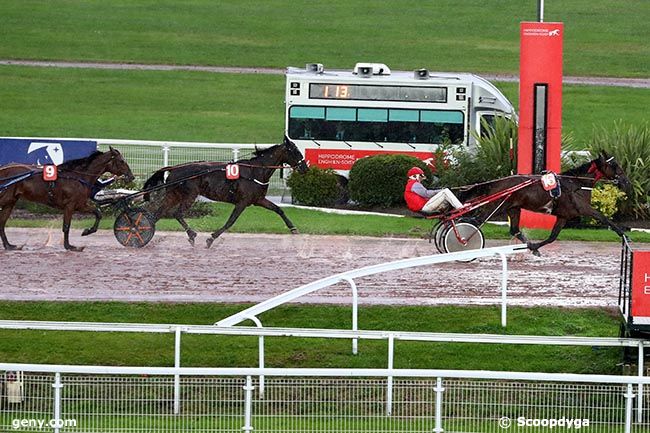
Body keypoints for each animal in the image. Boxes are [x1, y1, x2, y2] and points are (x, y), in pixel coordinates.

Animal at [0, 147, 134, 251]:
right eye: (122, 161)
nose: (131, 176)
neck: (78, 177)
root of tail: (3, 169)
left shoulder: (80, 204)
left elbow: (98, 213)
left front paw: (87, 231)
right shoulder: (71, 205)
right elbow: (66, 226)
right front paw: (70, 246)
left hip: (10, 202)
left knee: (2, 223)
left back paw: (9, 246)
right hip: (6, 199)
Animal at [142, 135, 308, 246]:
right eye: (295, 151)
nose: (304, 168)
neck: (255, 171)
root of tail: (174, 168)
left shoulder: (258, 199)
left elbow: (278, 209)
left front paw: (293, 228)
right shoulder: (242, 202)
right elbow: (230, 222)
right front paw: (210, 239)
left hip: (173, 195)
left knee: (158, 213)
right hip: (189, 195)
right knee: (176, 213)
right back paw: (191, 234)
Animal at [456, 151, 628, 255]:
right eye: (615, 165)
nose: (626, 181)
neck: (576, 184)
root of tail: (495, 183)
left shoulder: (563, 216)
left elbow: (552, 237)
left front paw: (534, 248)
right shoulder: (584, 209)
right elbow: (603, 217)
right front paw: (623, 233)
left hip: (513, 208)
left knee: (514, 229)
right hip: (497, 206)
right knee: (476, 221)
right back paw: (463, 241)